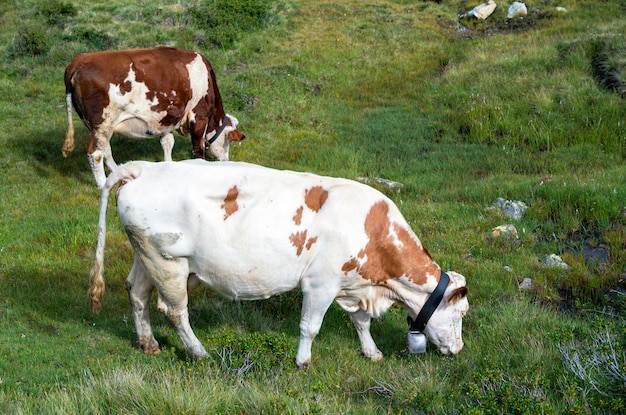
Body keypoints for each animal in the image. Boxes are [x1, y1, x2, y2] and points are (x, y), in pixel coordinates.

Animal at [62, 46, 244, 188]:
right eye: (228, 142)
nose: (226, 160)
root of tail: (78, 61)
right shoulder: (199, 115)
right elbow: (197, 147)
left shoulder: (166, 118)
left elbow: (167, 142)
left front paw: (168, 164)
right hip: (102, 122)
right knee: (95, 153)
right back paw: (102, 183)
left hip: (98, 126)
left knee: (105, 149)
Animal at [90, 159, 466, 368]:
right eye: (462, 312)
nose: (460, 348)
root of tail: (145, 168)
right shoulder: (320, 284)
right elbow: (310, 327)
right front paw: (303, 361)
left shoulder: (353, 283)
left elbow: (361, 322)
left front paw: (371, 352)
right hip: (168, 263)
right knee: (175, 311)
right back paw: (199, 353)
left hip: (147, 257)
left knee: (137, 294)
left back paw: (148, 343)